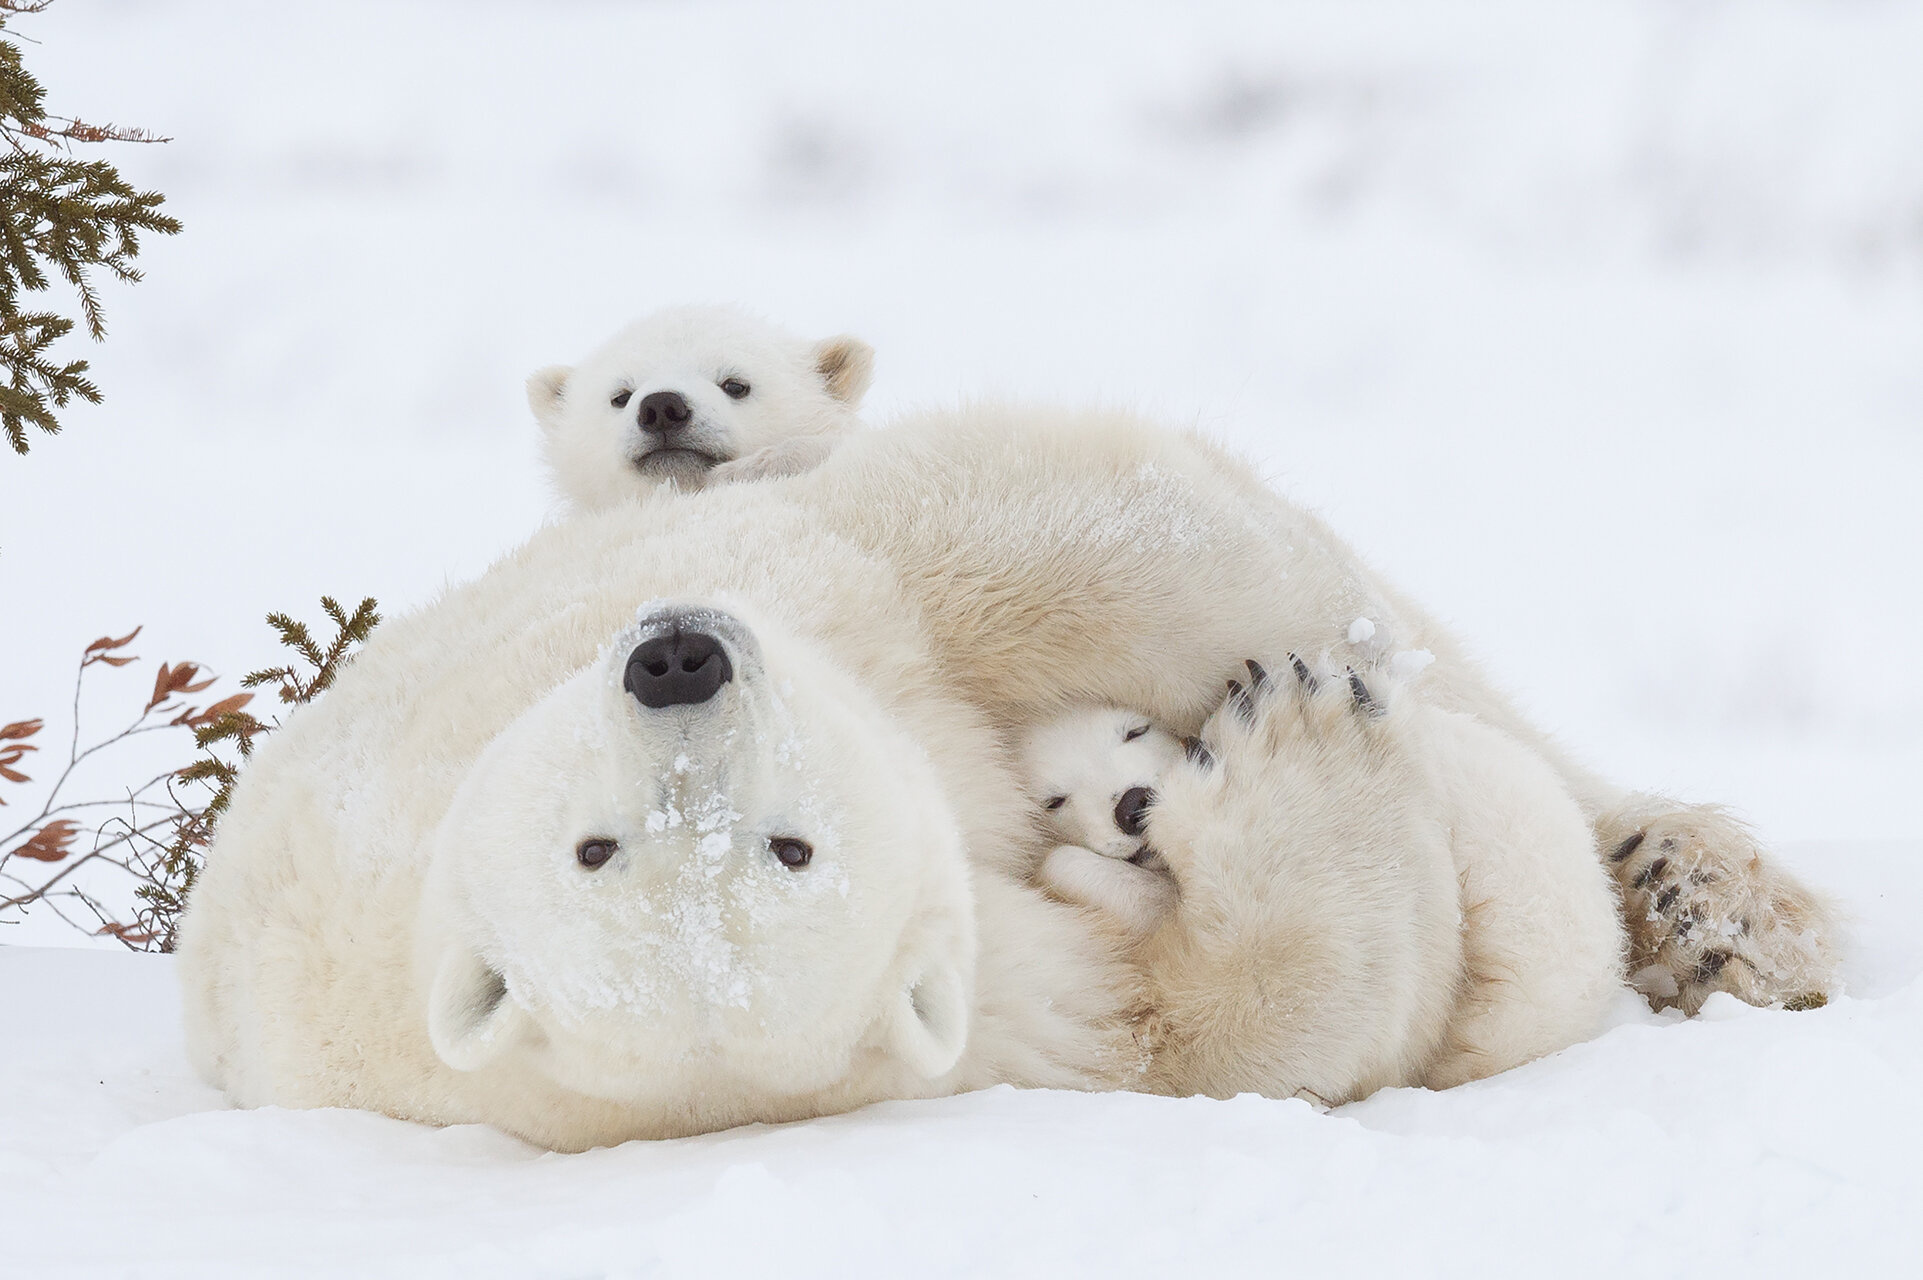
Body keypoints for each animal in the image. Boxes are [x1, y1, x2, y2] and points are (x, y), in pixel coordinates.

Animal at [176, 403, 1830, 1137]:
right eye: (604, 848)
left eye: (775, 837)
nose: (678, 658)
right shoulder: (971, 1020)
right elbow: (1210, 1028)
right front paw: (1295, 746)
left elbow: (1049, 544)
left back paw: (1707, 898)